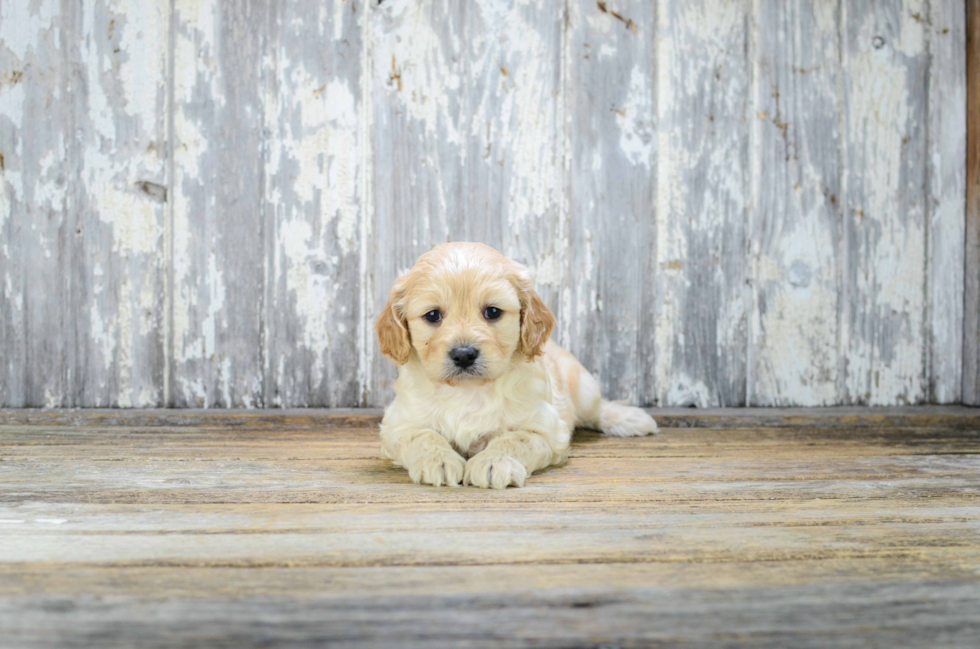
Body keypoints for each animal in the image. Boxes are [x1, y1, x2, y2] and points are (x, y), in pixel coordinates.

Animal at [376, 242, 660, 486]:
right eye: (433, 315)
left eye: (492, 312)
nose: (464, 354)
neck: (469, 390)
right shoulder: (398, 424)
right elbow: (423, 435)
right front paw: (439, 460)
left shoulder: (546, 428)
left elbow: (514, 438)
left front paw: (493, 463)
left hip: (584, 387)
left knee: (597, 409)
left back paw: (631, 419)